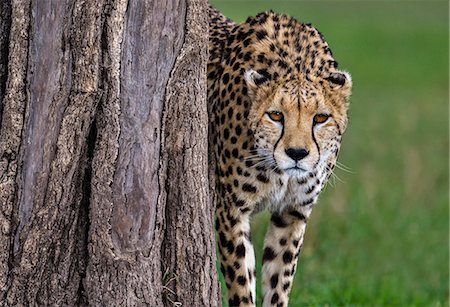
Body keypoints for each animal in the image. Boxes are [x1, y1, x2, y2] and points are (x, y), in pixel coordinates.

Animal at [207, 5, 352, 307]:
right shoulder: (232, 211)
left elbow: (279, 278)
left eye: (320, 118)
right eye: (275, 115)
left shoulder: (293, 213)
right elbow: (241, 282)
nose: (297, 153)